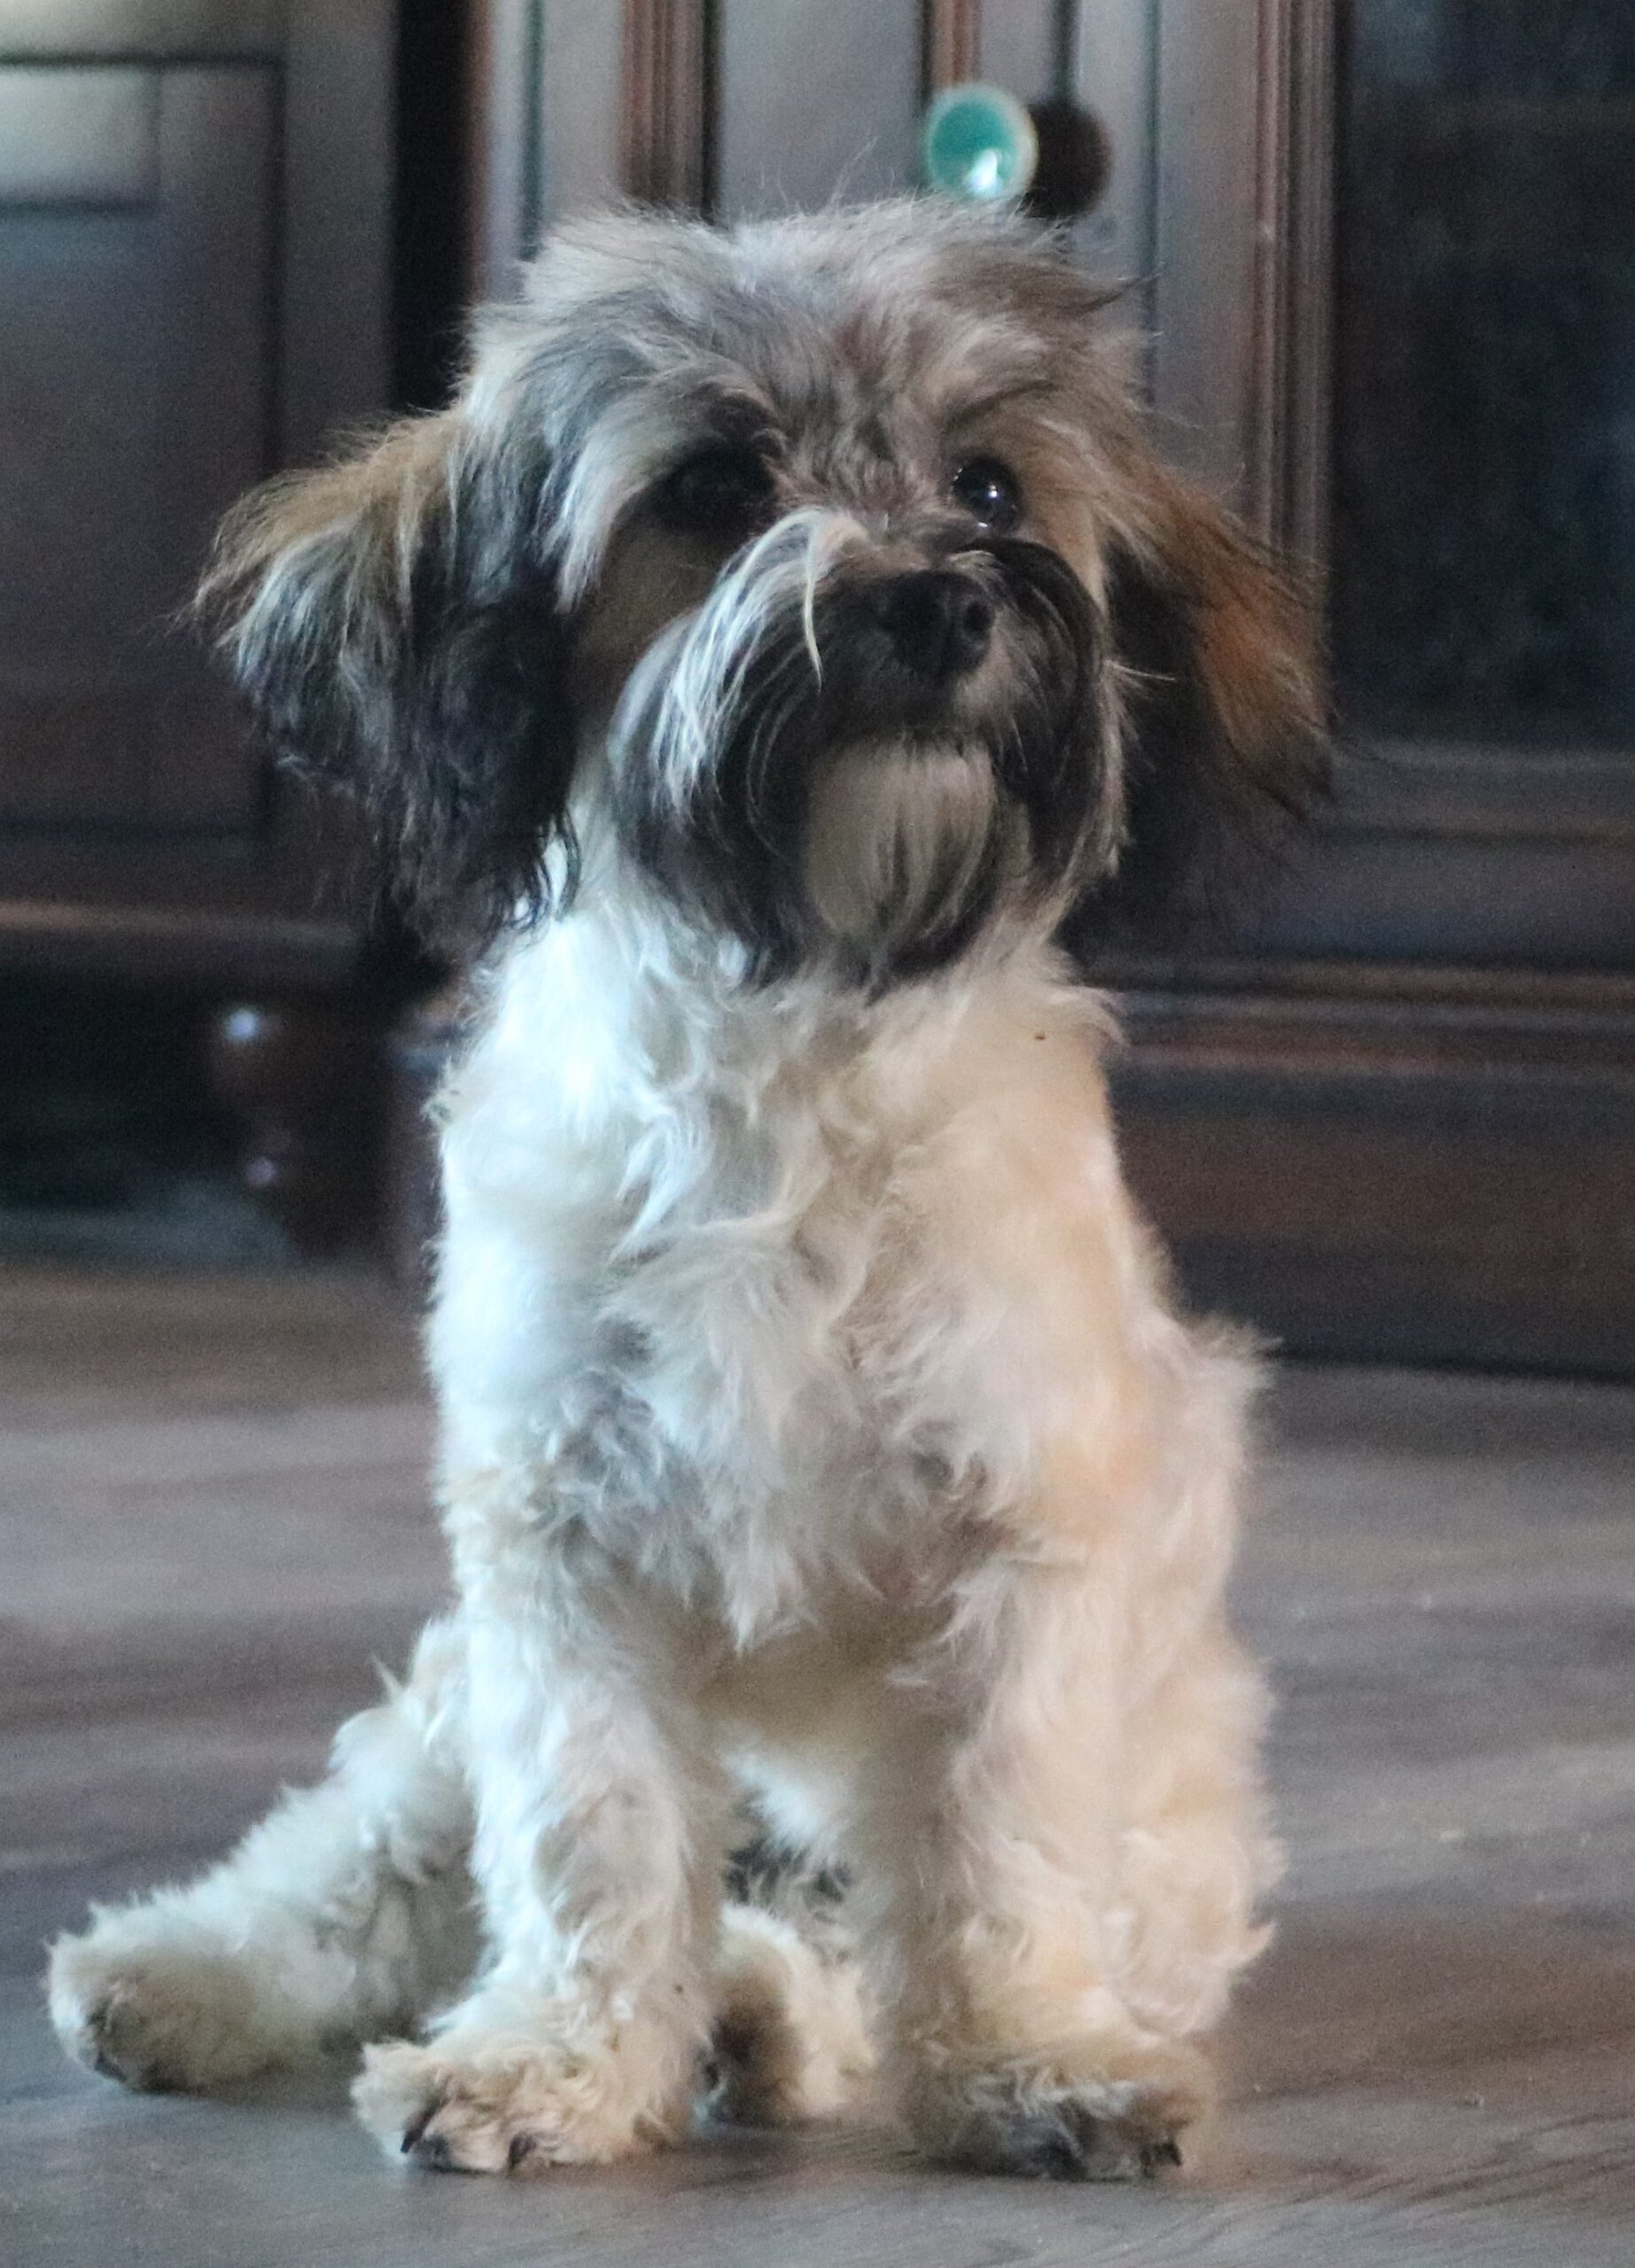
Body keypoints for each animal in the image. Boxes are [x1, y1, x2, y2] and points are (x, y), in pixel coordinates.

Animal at [48, 204, 1324, 2186]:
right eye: (715, 490)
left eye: (987, 485)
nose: (939, 599)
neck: (791, 1017)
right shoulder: (554, 1549)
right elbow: (582, 1835)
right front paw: (550, 2061)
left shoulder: (1016, 1550)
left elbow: (993, 1843)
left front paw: (1029, 2064)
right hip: (445, 1707)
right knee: (363, 1864)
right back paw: (183, 1971)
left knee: (824, 1946)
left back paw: (756, 2009)